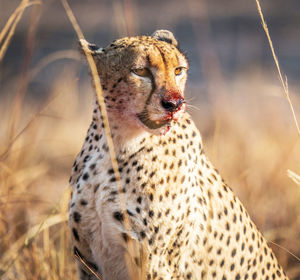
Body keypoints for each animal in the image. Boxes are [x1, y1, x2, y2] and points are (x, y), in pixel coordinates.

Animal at [68, 30, 288, 280]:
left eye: (178, 70)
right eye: (140, 71)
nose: (174, 104)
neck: (113, 145)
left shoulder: (154, 263)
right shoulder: (87, 260)